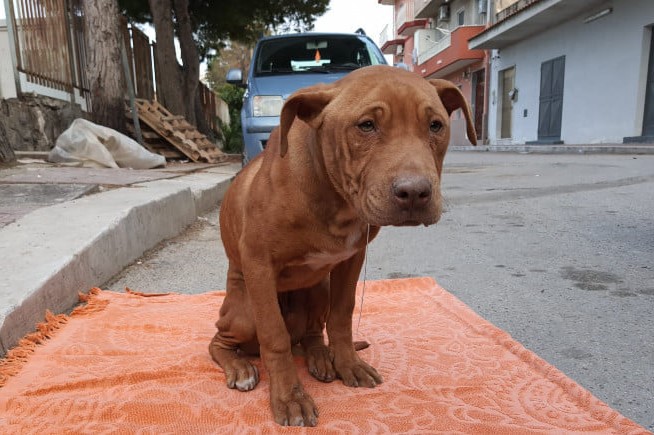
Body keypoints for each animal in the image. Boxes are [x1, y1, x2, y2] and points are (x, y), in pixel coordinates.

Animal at [213, 64, 480, 426]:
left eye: (435, 125)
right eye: (366, 125)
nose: (415, 193)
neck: (335, 199)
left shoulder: (351, 260)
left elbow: (342, 316)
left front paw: (348, 364)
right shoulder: (258, 263)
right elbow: (274, 336)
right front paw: (289, 397)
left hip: (318, 290)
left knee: (312, 333)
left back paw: (320, 358)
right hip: (243, 313)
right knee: (223, 340)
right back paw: (240, 367)